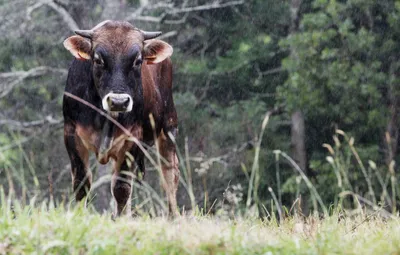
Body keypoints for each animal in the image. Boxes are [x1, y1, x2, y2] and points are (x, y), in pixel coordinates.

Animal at [63, 20, 180, 217]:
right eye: (98, 59)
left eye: (138, 61)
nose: (118, 101)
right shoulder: (71, 133)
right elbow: (81, 184)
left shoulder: (132, 138)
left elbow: (121, 187)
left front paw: (121, 219)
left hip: (168, 127)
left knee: (170, 176)